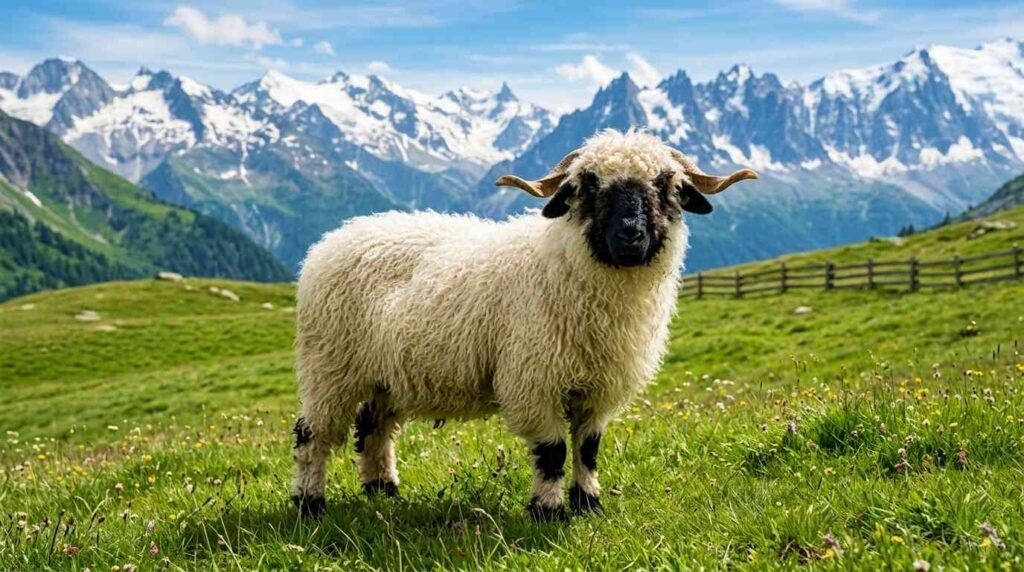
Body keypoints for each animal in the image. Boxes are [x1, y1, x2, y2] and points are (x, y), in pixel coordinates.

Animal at [291, 129, 758, 520]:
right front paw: (548, 510)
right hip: (330, 367)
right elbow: (552, 451)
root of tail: (333, 239)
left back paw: (383, 491)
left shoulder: (600, 388)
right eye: (589, 184)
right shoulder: (533, 380)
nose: (630, 236)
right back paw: (310, 504)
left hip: (386, 376)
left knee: (374, 429)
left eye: (666, 185)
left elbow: (588, 448)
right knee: (311, 433)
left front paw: (588, 503)